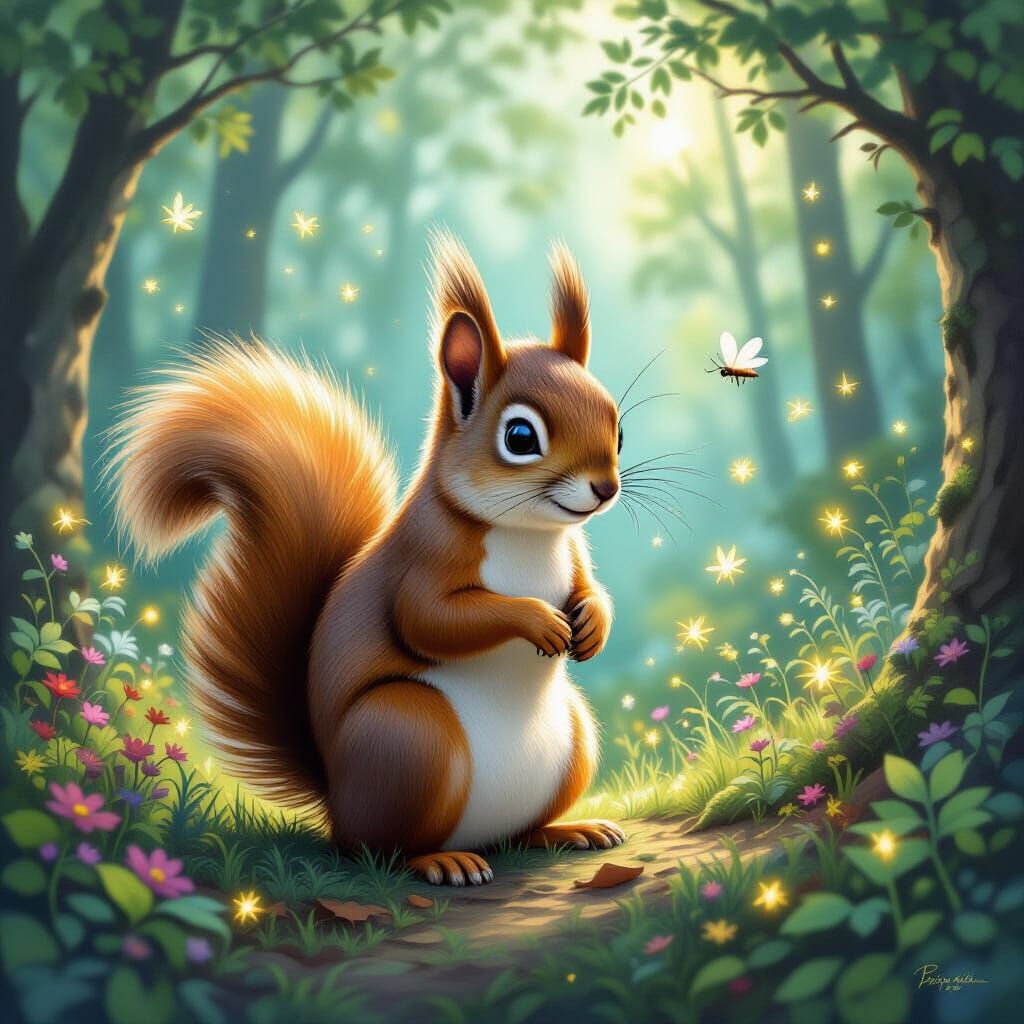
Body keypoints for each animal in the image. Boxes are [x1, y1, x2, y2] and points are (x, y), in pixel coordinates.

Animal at [110, 232, 625, 886]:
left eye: (617, 428)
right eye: (520, 437)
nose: (605, 489)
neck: (527, 533)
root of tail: (335, 799)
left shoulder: (574, 553)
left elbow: (589, 588)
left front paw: (593, 621)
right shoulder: (424, 557)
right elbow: (430, 620)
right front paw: (537, 619)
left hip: (572, 741)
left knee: (518, 830)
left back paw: (566, 829)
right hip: (410, 735)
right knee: (379, 848)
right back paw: (442, 860)